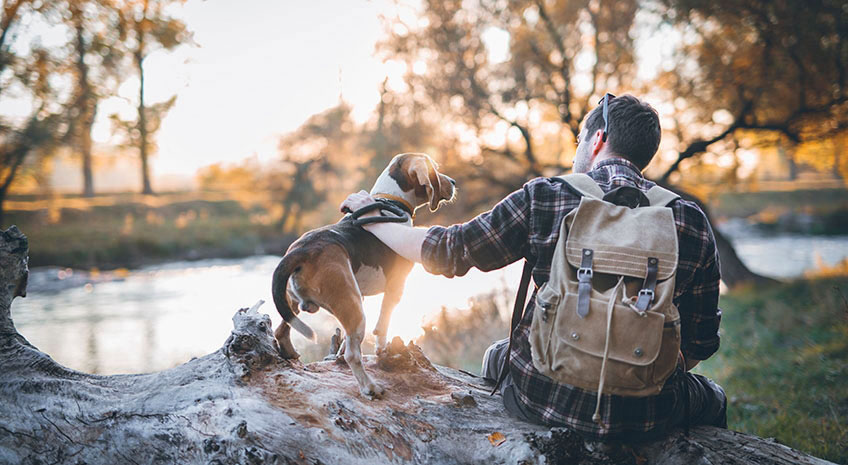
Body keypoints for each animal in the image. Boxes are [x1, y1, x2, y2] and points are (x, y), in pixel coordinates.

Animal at [272, 153, 458, 398]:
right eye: (435, 168)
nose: (454, 182)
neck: (390, 200)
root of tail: (302, 250)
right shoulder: (396, 286)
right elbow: (383, 324)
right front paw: (382, 349)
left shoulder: (361, 294)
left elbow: (347, 340)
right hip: (354, 309)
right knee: (353, 355)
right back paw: (370, 387)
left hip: (300, 303)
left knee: (281, 331)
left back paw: (290, 353)